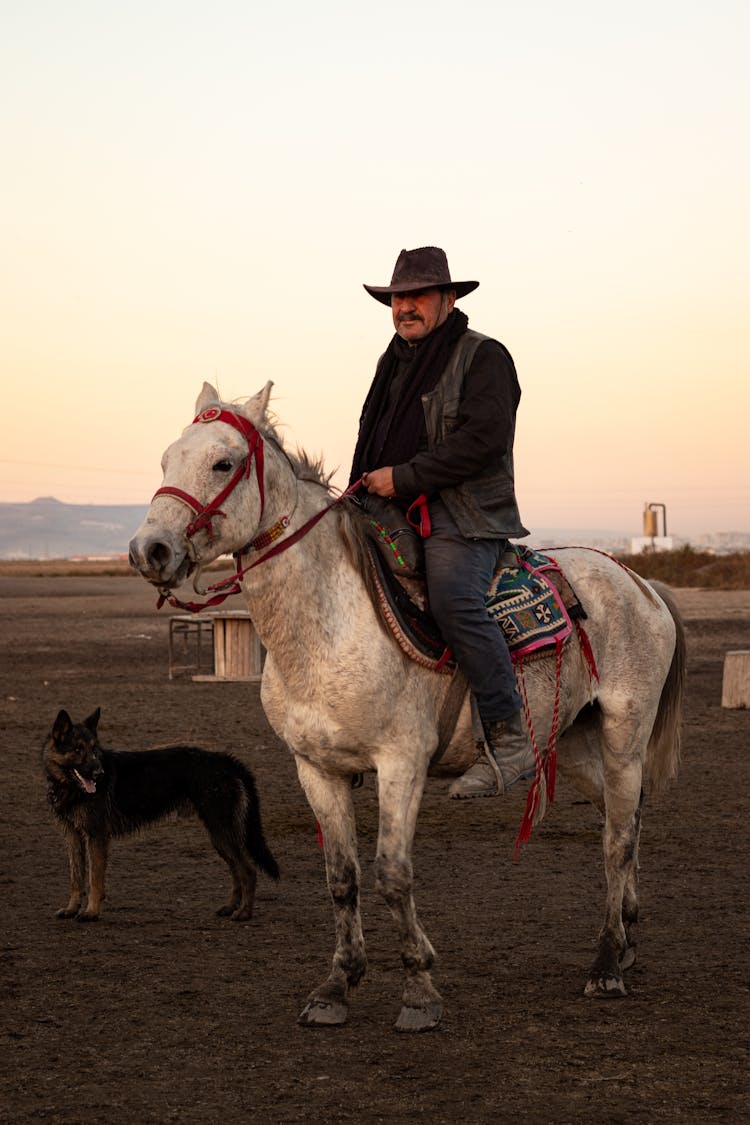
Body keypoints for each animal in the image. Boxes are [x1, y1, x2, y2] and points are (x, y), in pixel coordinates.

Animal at [43, 711, 278, 922]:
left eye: (94, 750)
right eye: (77, 749)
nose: (99, 774)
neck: (70, 788)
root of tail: (225, 760)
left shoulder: (96, 837)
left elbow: (94, 879)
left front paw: (91, 912)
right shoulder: (73, 838)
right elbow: (76, 878)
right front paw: (71, 909)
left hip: (222, 833)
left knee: (248, 871)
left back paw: (244, 913)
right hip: (219, 839)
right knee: (236, 872)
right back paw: (230, 907)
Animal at [129, 382, 688, 1030]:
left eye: (223, 463)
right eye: (165, 460)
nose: (149, 551)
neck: (329, 622)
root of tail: (639, 582)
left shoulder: (401, 763)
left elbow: (393, 875)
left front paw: (419, 991)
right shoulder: (316, 769)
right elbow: (341, 877)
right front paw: (336, 986)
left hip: (625, 733)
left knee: (617, 838)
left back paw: (605, 964)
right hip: (572, 741)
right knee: (626, 819)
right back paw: (626, 940)